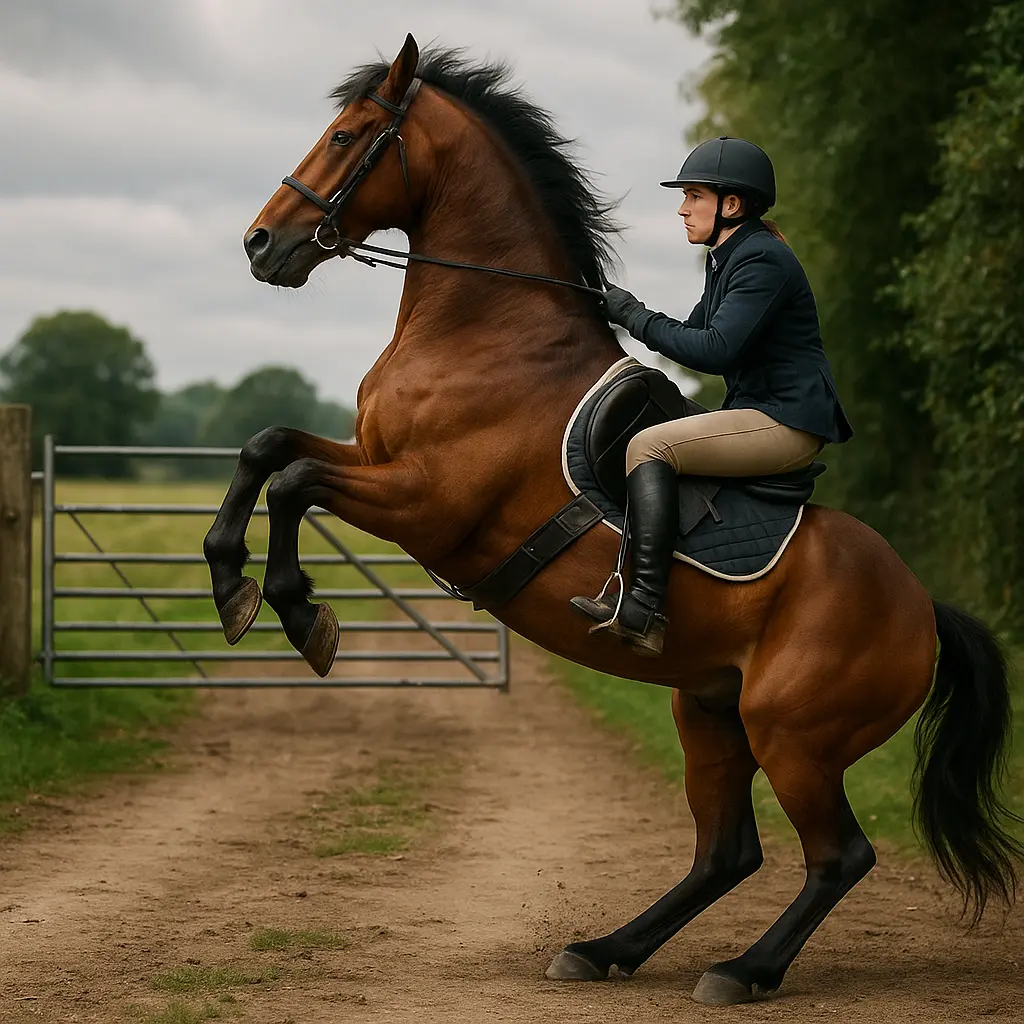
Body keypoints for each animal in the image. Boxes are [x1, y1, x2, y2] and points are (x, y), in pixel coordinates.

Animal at [203, 34, 1022, 1006]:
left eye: (347, 135)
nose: (260, 244)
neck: (485, 328)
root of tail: (921, 606)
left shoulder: (425, 501)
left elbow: (293, 481)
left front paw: (299, 613)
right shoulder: (374, 456)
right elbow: (265, 449)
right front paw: (229, 586)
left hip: (795, 736)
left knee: (837, 856)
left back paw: (742, 971)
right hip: (710, 713)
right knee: (725, 853)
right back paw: (604, 950)